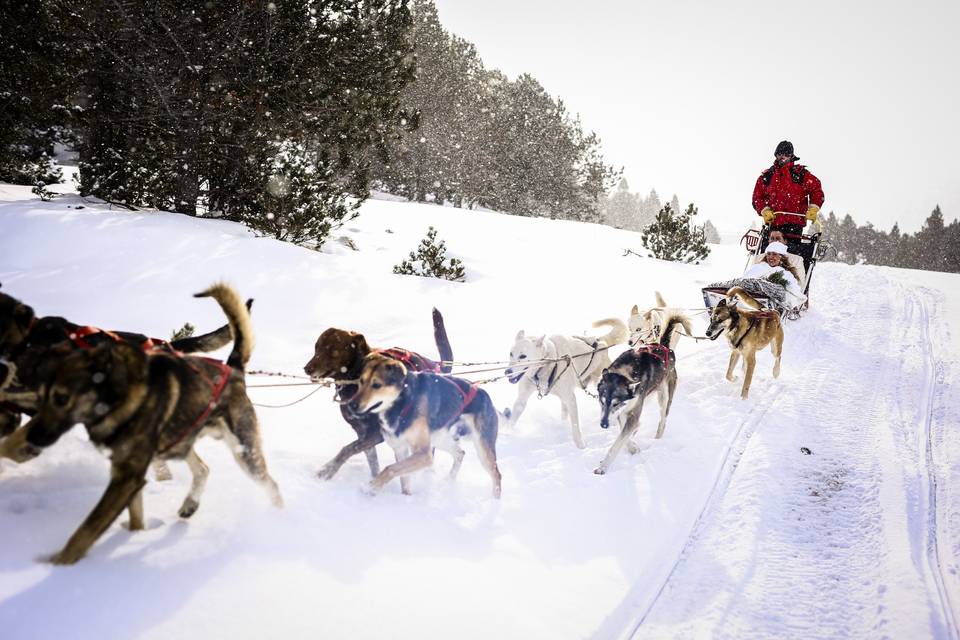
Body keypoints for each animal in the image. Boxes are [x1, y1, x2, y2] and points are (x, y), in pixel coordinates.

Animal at [6, 284, 282, 564]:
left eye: (62, 398)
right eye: (42, 395)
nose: (32, 440)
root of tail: (232, 369)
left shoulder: (127, 477)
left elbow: (86, 530)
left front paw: (58, 564)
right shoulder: (126, 471)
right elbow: (134, 514)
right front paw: (135, 533)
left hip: (244, 453)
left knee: (272, 486)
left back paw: (279, 522)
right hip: (178, 440)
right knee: (203, 469)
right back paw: (189, 504)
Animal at [304, 308, 454, 480]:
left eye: (332, 350)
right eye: (317, 347)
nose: (307, 368)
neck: (355, 376)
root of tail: (439, 368)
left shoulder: (376, 433)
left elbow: (347, 449)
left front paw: (328, 469)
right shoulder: (362, 433)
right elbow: (370, 460)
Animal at [502, 318, 632, 448]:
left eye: (523, 356)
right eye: (511, 354)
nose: (507, 372)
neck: (548, 365)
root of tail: (600, 341)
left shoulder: (571, 399)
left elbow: (575, 427)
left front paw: (580, 446)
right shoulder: (522, 399)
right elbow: (513, 419)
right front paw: (506, 436)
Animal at [588, 312, 688, 476]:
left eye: (616, 403)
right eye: (602, 401)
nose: (604, 425)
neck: (623, 373)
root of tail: (664, 346)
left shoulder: (631, 412)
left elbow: (618, 443)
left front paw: (604, 467)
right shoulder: (625, 411)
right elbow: (624, 433)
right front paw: (633, 447)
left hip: (664, 398)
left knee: (663, 421)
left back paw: (657, 440)